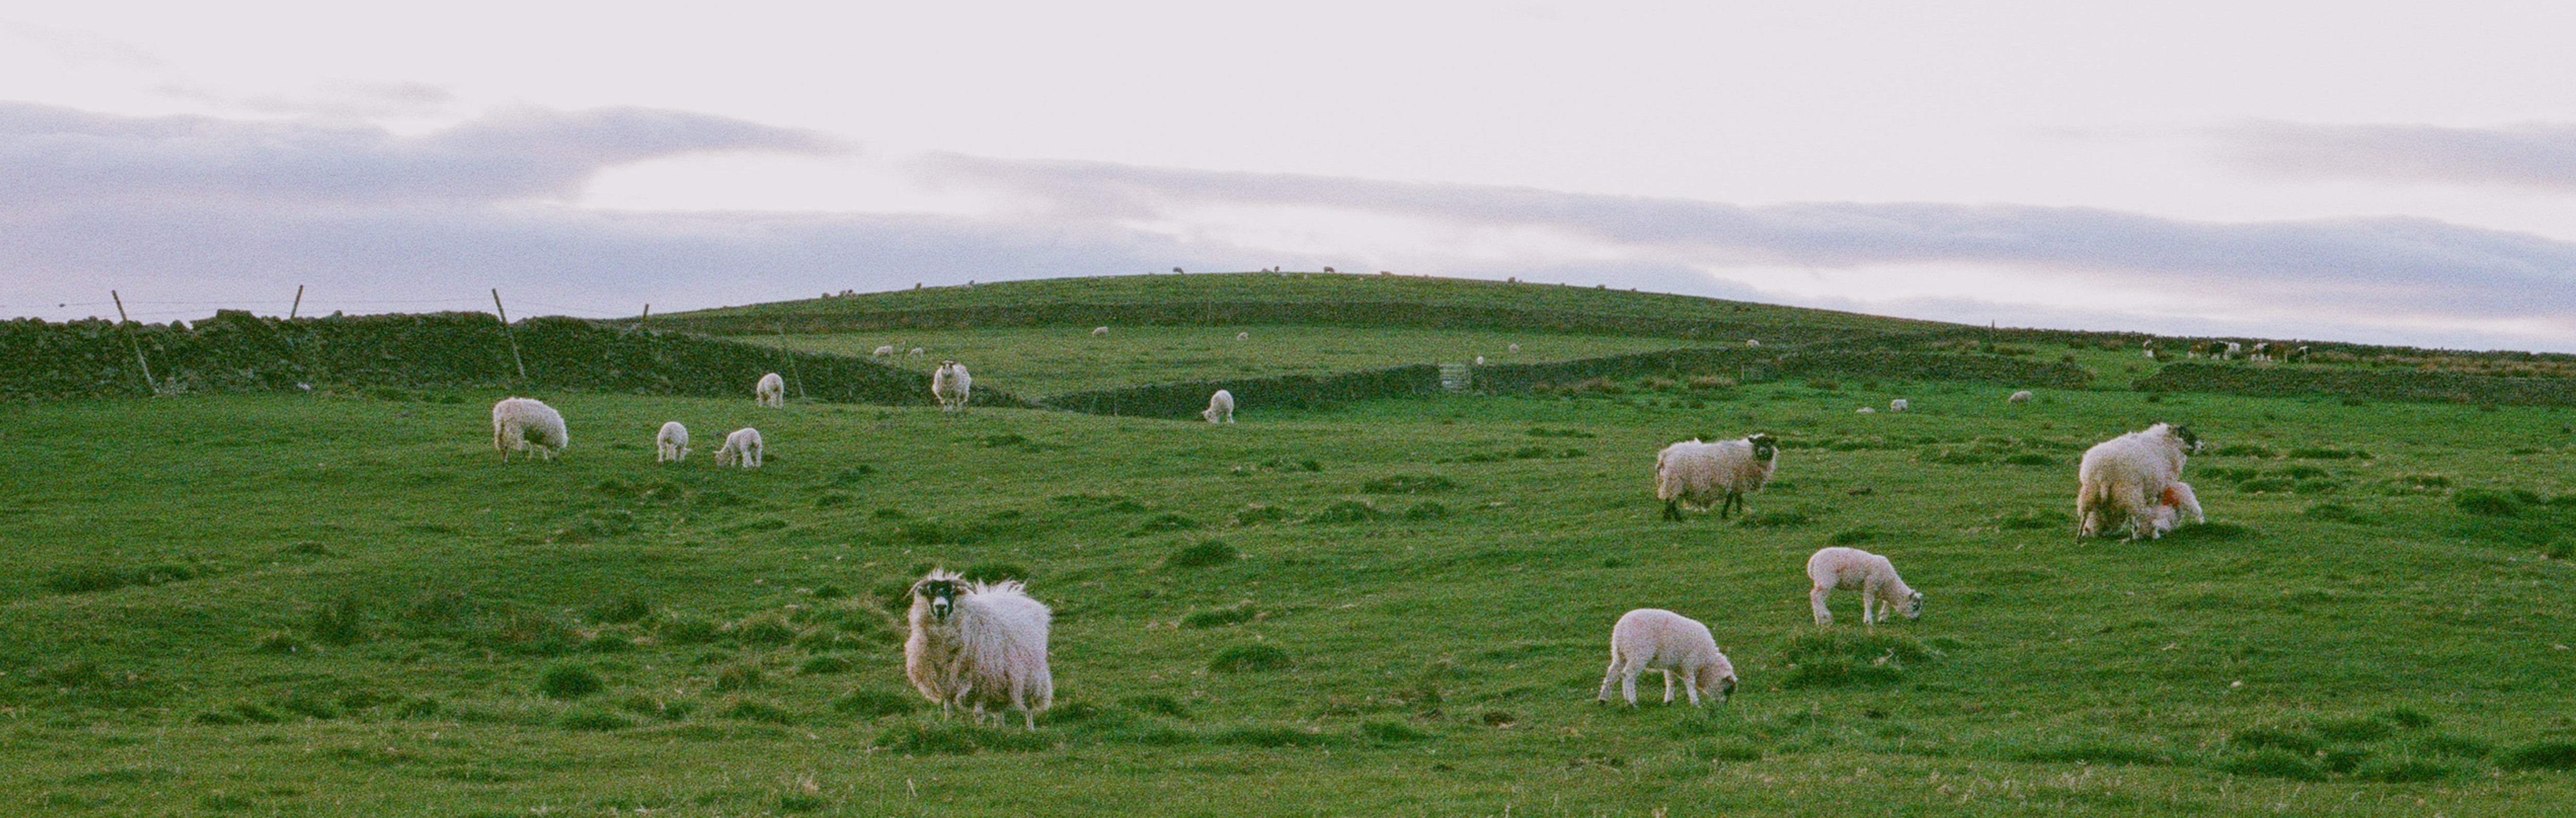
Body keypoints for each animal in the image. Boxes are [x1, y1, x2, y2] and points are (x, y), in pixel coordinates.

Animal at [487, 398, 564, 463]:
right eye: (558, 448)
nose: (555, 458)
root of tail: (502, 413)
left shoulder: (535, 435)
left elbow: (532, 446)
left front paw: (530, 458)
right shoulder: (546, 435)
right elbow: (544, 448)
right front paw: (546, 458)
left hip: (501, 428)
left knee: (501, 443)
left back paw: (504, 458)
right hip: (513, 428)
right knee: (507, 443)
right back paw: (509, 457)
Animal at [906, 568, 1056, 730]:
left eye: (952, 592)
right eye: (930, 592)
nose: (941, 607)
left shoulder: (981, 679)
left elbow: (978, 713)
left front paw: (979, 729)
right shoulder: (946, 679)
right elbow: (948, 707)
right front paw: (948, 724)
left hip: (1030, 676)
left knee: (1028, 706)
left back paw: (1030, 729)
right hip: (1000, 679)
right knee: (998, 708)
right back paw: (999, 727)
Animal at [1587, 610, 1731, 705]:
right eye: (1727, 690)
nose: (1723, 705)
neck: (1707, 663)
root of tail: (1621, 629)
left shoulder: (1672, 665)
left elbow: (1670, 682)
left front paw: (1669, 700)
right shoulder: (1689, 663)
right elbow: (1690, 682)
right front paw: (1695, 702)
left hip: (1620, 654)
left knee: (1613, 674)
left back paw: (1604, 699)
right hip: (1638, 654)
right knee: (1628, 675)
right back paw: (1632, 701)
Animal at [1659, 432, 1782, 519]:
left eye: (1769, 444)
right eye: (1757, 444)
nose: (1763, 452)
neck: (1748, 454)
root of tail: (1665, 455)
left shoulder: (1734, 483)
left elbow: (1733, 498)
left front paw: (1731, 514)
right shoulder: (1737, 481)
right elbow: (1735, 499)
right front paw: (1735, 514)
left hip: (1672, 481)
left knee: (1671, 500)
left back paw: (1670, 517)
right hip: (1674, 480)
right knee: (1671, 500)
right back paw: (1674, 517)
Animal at [1803, 550, 1927, 625]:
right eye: (1915, 606)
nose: (1917, 619)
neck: (1890, 583)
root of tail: (1813, 561)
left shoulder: (1882, 590)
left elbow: (1886, 602)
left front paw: (1883, 618)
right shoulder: (1870, 584)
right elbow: (1869, 602)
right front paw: (1868, 621)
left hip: (1822, 580)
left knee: (1818, 598)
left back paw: (1821, 619)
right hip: (1826, 579)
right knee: (1815, 596)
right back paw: (1824, 618)